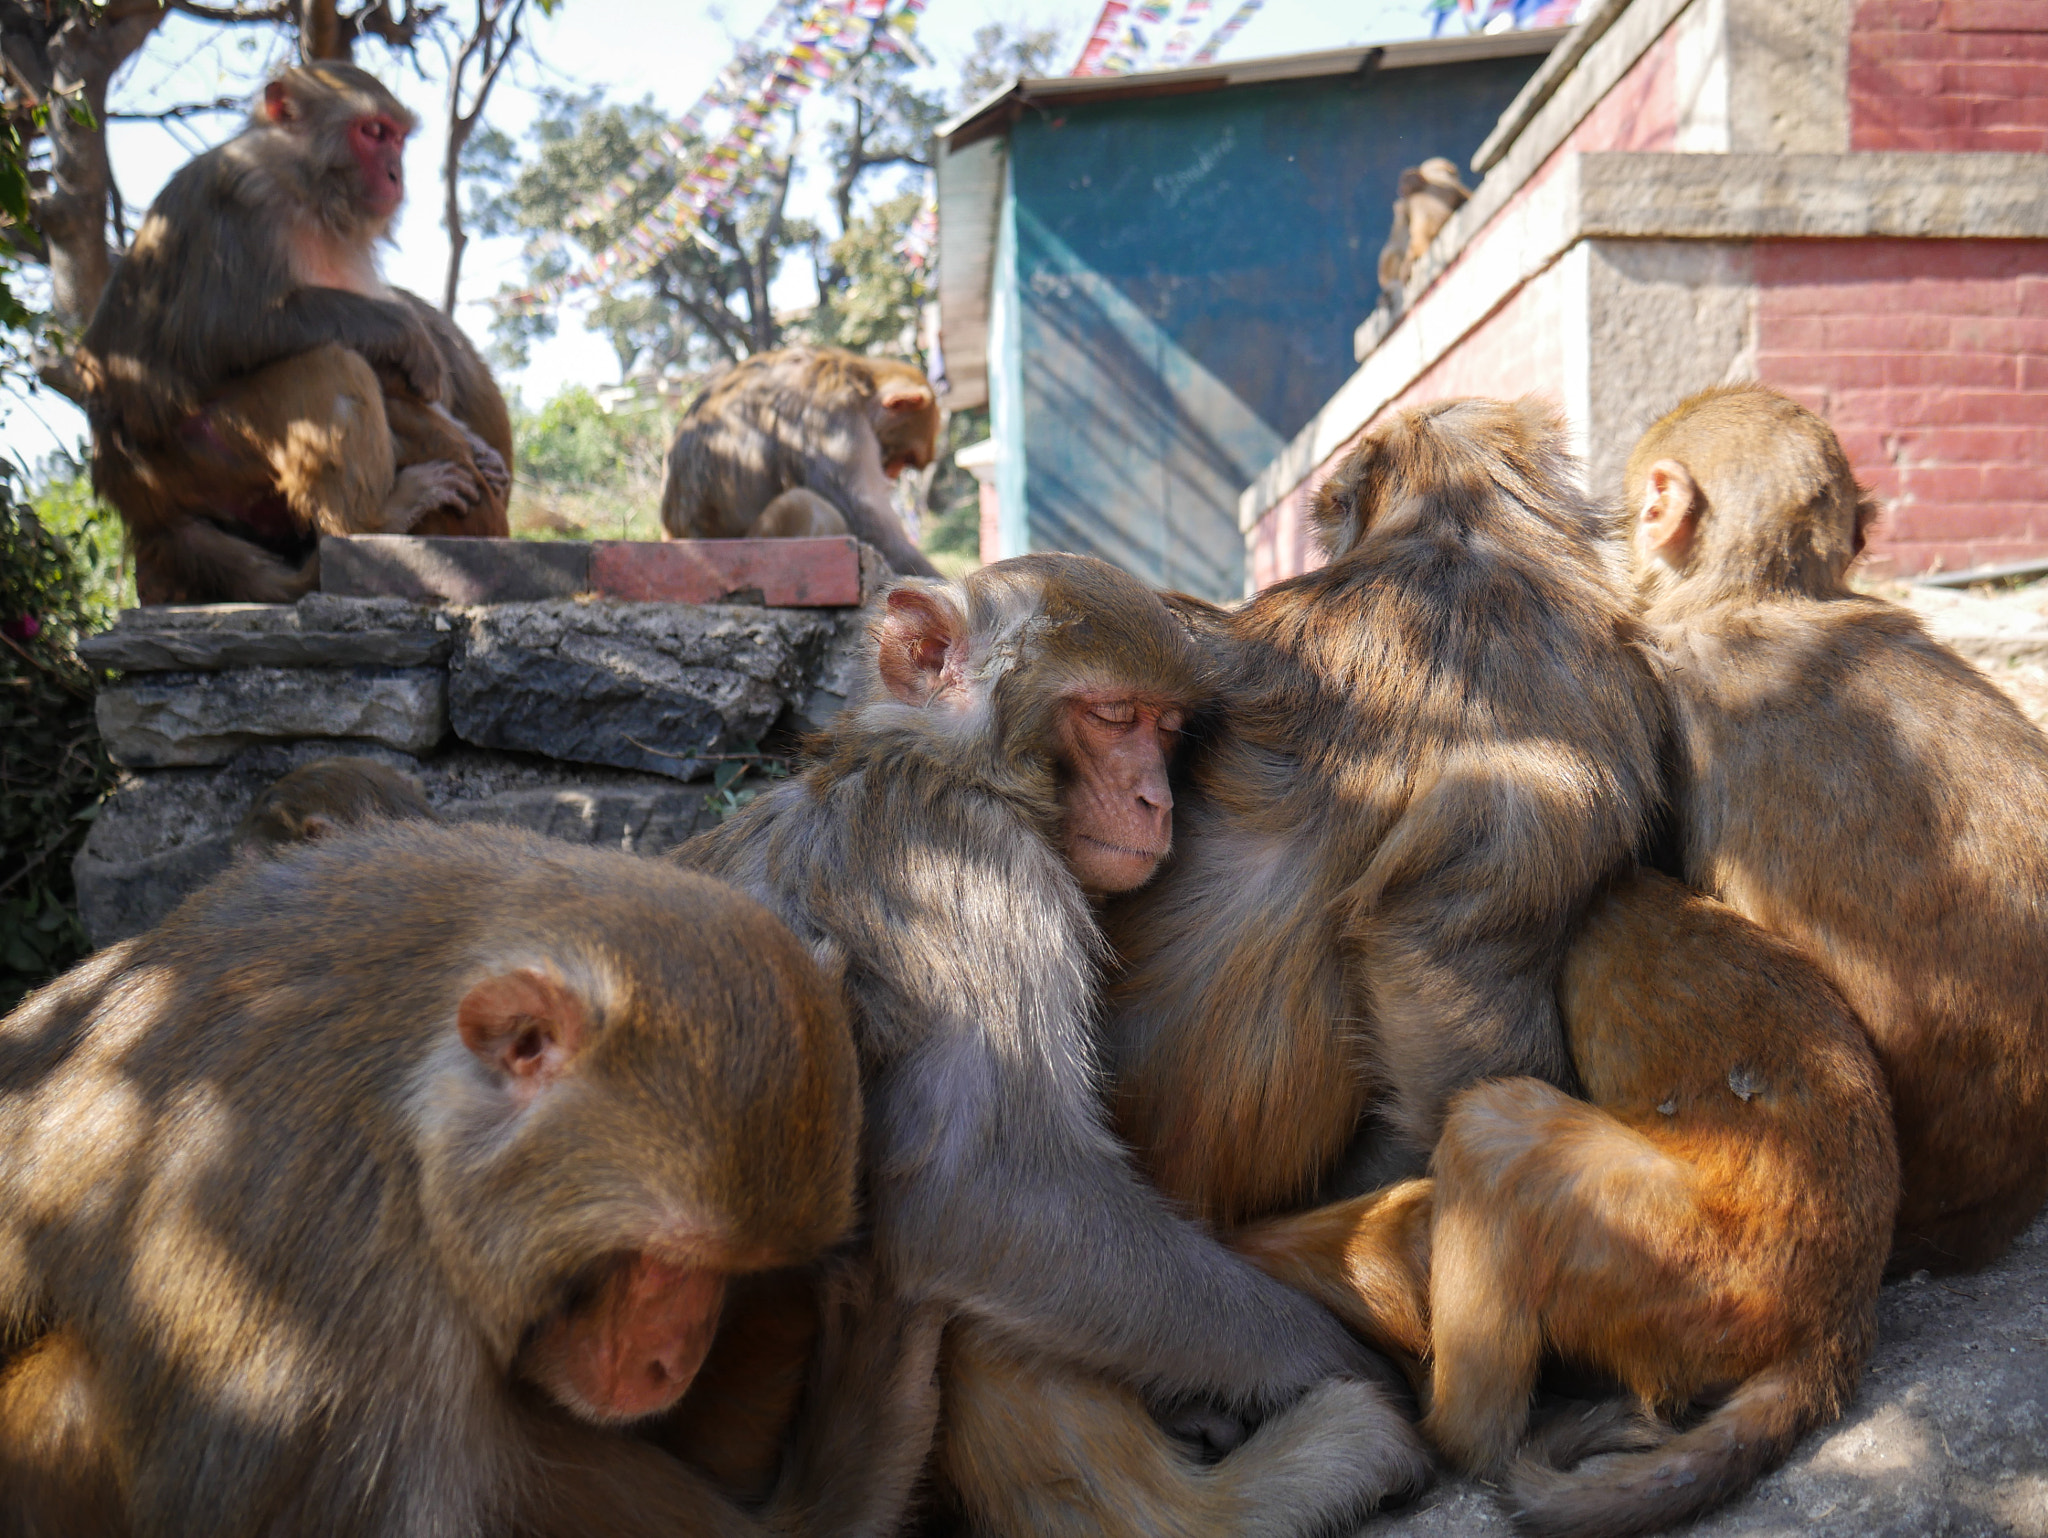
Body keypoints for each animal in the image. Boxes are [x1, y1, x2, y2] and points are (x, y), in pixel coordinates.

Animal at [77, 64, 510, 606]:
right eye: (372, 132)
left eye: (397, 138)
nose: (396, 175)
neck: (309, 189)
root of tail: (122, 481)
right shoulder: (243, 196)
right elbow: (225, 330)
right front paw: (409, 333)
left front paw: (477, 445)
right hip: (195, 453)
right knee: (326, 363)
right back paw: (368, 521)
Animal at [660, 346, 943, 578]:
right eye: (903, 457)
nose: (892, 474)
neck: (857, 379)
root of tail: (674, 535)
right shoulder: (832, 416)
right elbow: (862, 512)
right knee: (805, 502)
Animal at [678, 554, 1428, 1538]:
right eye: (1111, 717)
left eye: (1166, 726)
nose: (1155, 800)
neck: (931, 759)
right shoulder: (974, 866)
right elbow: (987, 1191)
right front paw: (1341, 1362)